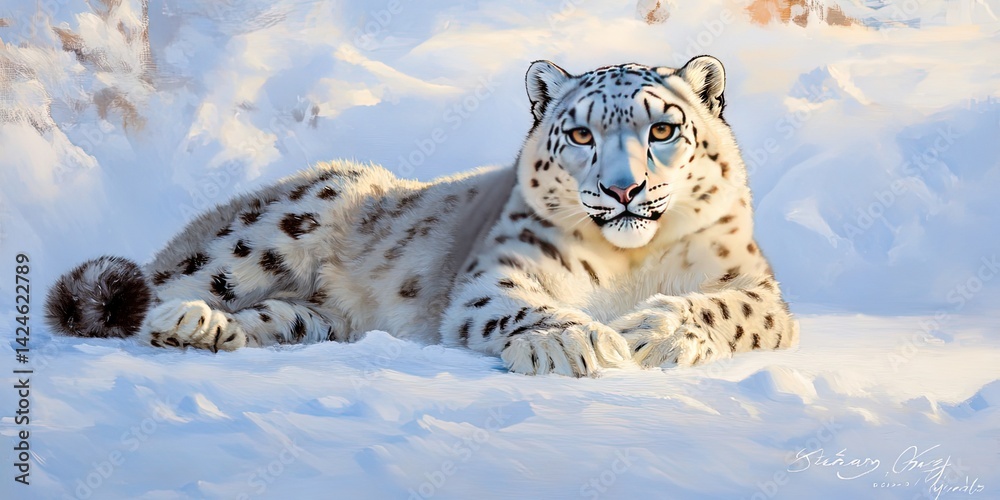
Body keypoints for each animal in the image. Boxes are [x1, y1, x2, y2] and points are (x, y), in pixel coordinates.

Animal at [45, 55, 798, 377]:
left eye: (663, 128)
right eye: (581, 134)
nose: (623, 190)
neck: (630, 262)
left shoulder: (755, 283)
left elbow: (734, 311)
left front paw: (658, 330)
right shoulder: (497, 274)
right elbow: (524, 307)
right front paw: (575, 341)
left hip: (311, 318)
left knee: (270, 318)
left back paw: (205, 332)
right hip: (272, 230)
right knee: (153, 288)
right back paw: (178, 318)